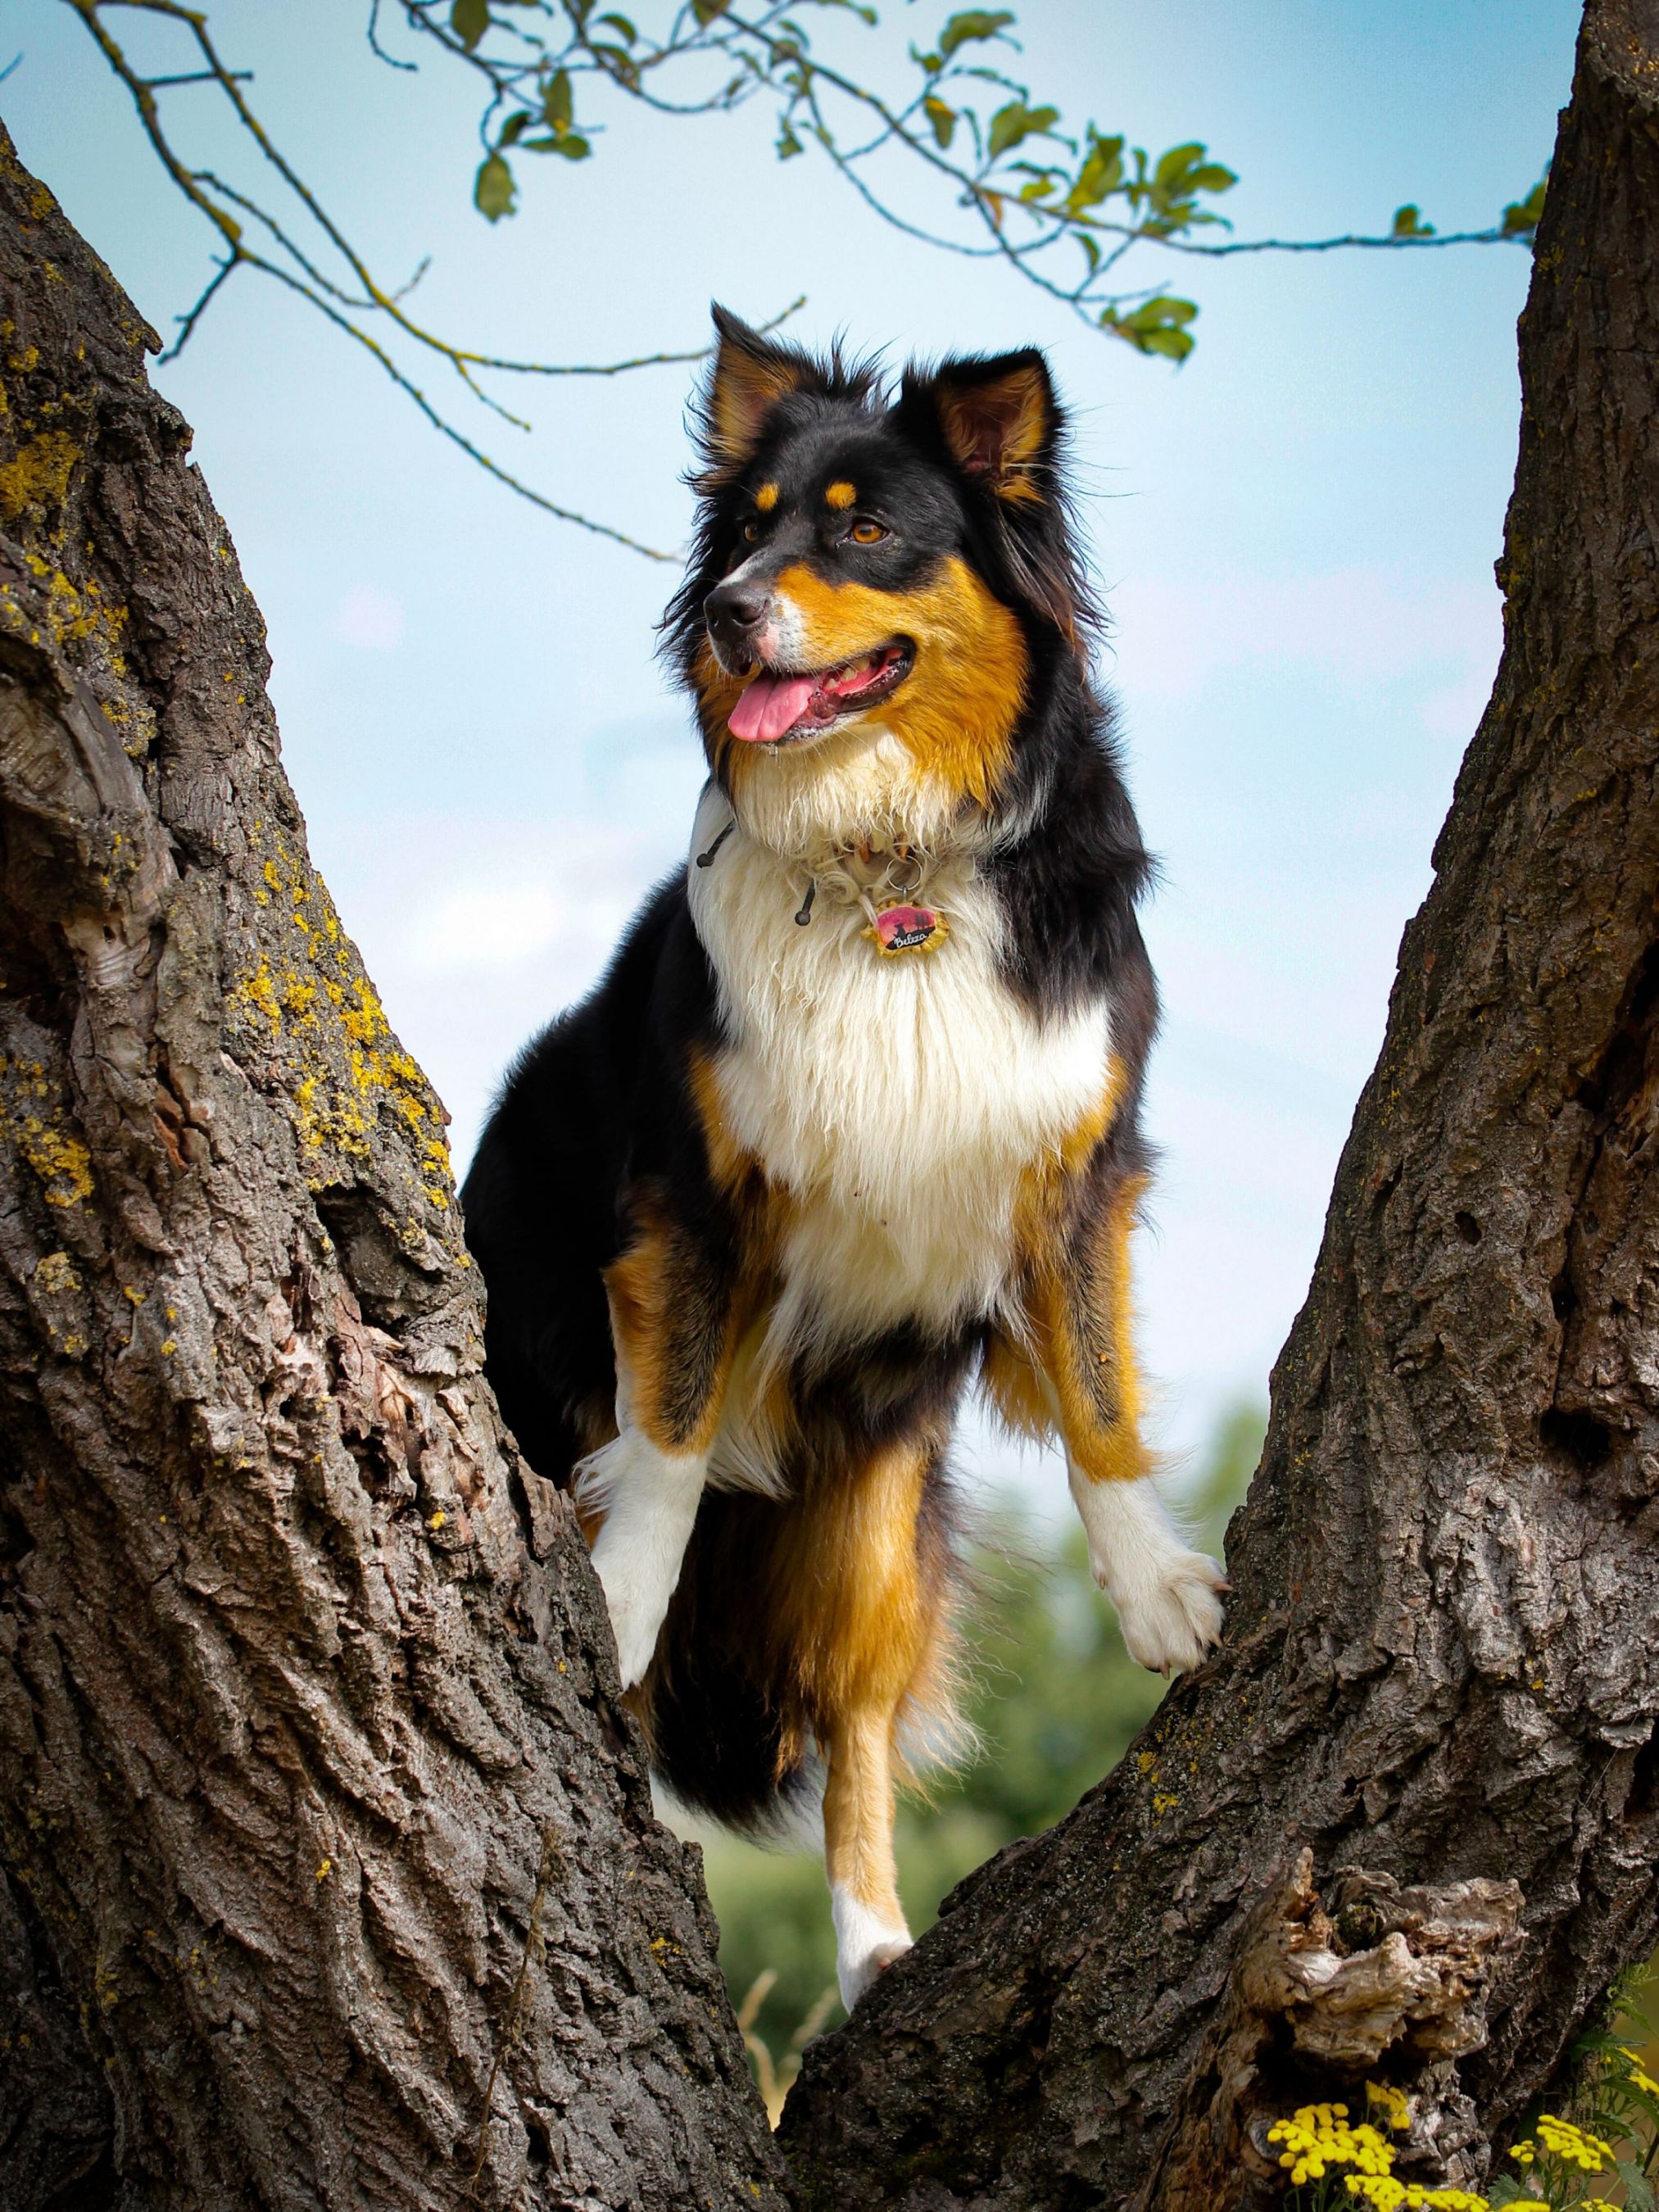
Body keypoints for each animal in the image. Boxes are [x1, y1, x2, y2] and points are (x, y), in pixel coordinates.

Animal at [462, 302, 1230, 2017]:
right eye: (746, 532)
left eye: (866, 529)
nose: (732, 615)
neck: (893, 867)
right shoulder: (692, 1194)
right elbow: (670, 1433)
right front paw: (618, 1593)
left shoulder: (1077, 1164)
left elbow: (1100, 1399)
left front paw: (1157, 1584)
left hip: (872, 1508)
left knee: (856, 1714)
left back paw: (880, 1946)